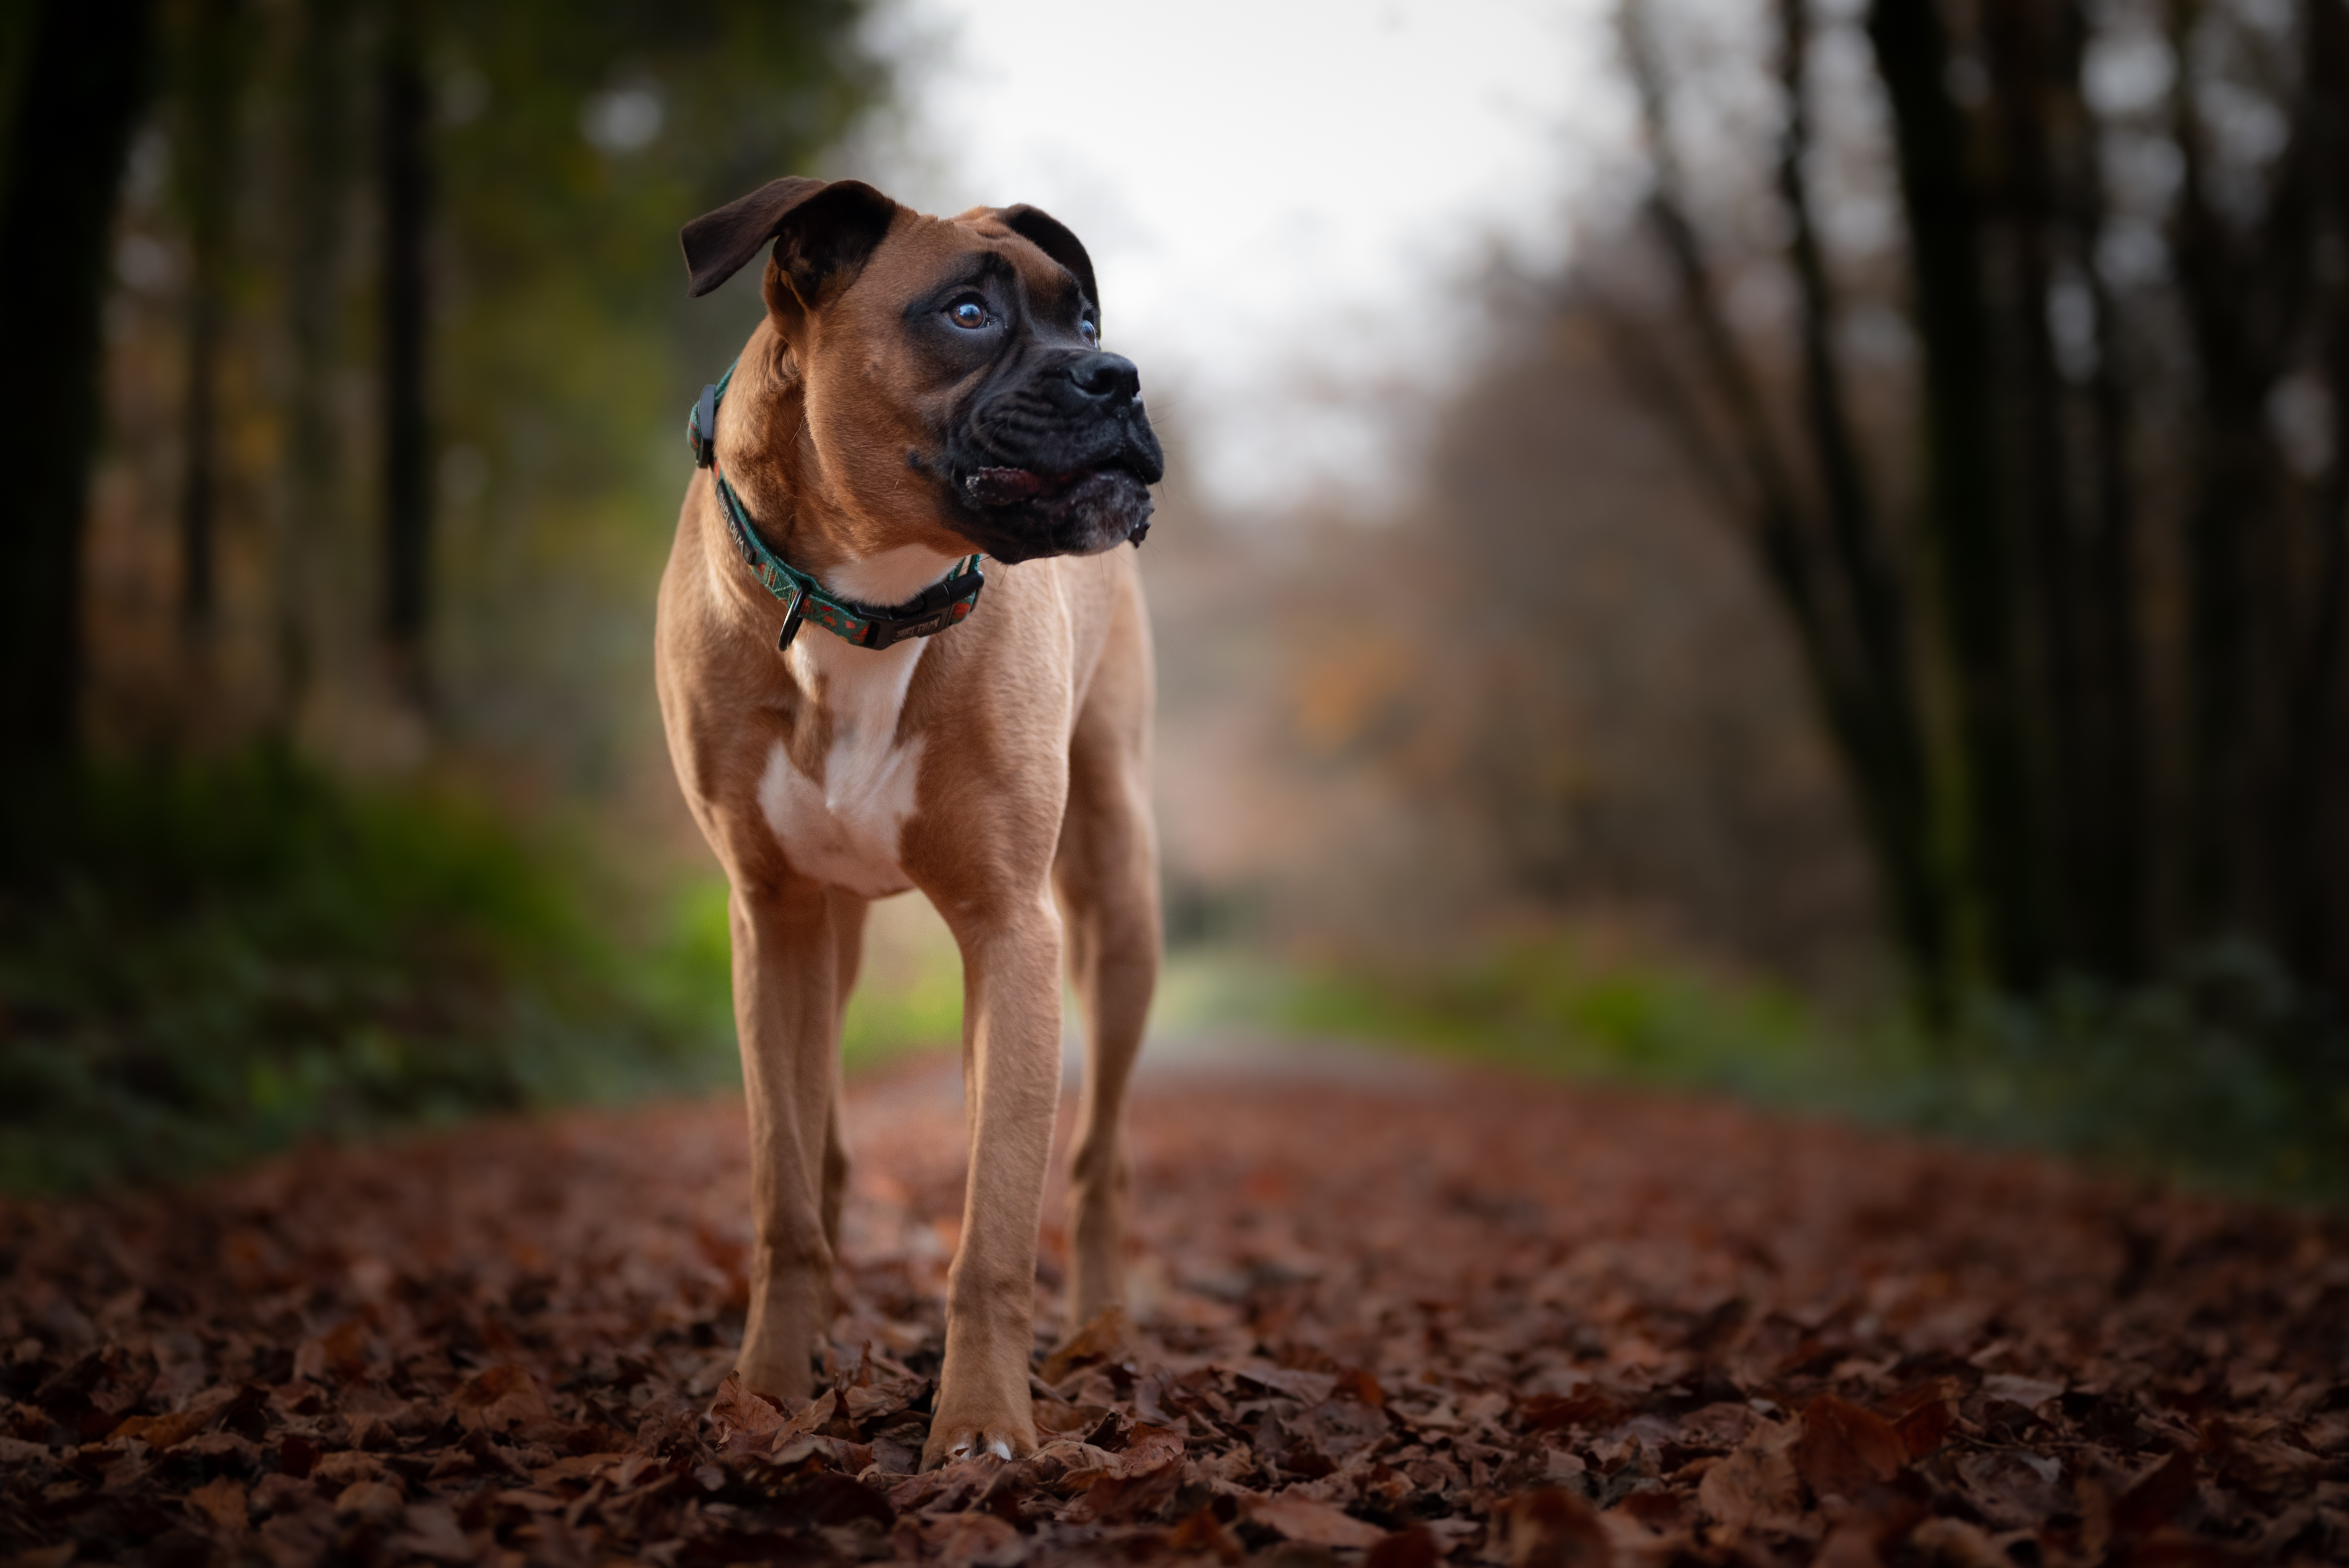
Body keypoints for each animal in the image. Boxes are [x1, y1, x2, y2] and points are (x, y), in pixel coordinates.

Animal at [653, 177, 1165, 1464]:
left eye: (1084, 318)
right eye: (966, 312)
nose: (1118, 373)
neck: (868, 597)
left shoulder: (1010, 932)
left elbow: (994, 1226)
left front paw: (981, 1424)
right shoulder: (770, 920)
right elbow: (784, 1186)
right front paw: (768, 1388)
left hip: (1116, 907)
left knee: (1097, 1159)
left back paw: (1100, 1336)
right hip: (826, 945)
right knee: (825, 1143)